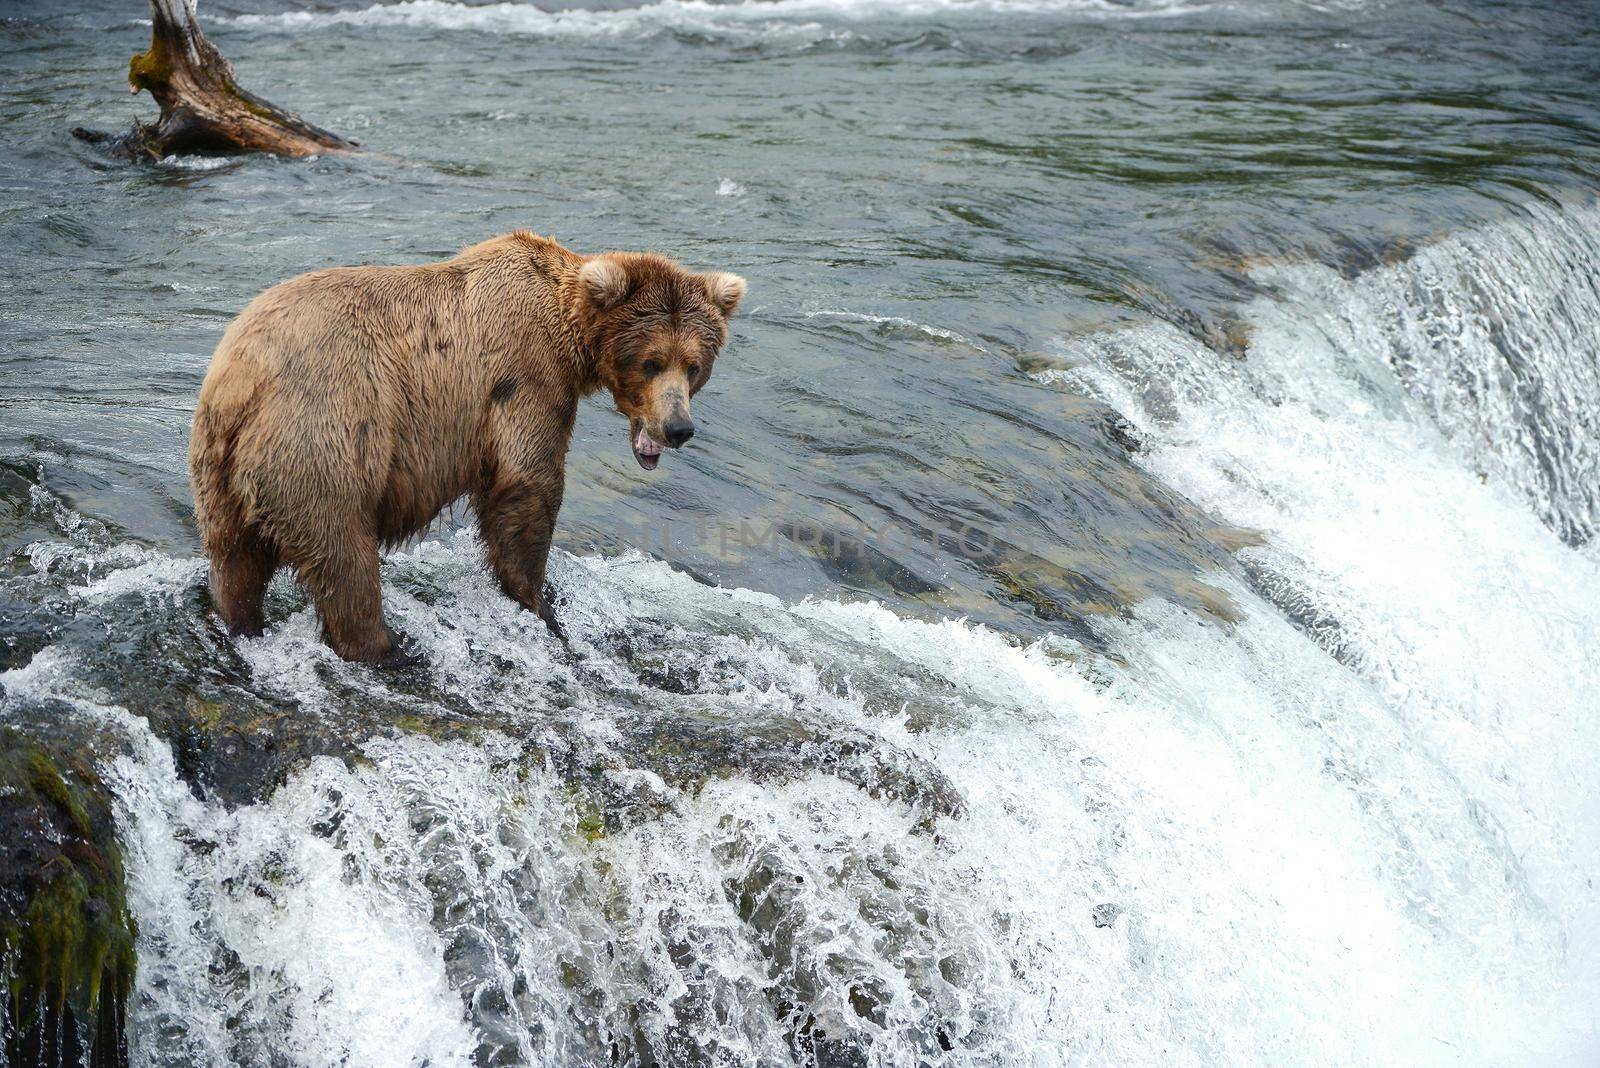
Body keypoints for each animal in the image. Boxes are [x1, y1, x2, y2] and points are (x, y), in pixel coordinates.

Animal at [185, 231, 742, 661]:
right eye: (651, 361)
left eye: (694, 365)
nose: (678, 428)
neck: (570, 334)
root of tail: (240, 382)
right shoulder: (526, 376)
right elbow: (527, 484)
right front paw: (539, 601)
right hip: (324, 437)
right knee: (343, 552)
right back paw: (388, 647)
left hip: (219, 469)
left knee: (235, 560)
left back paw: (238, 620)